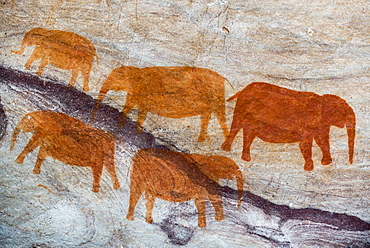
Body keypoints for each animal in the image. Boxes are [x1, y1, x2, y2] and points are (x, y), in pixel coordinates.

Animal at [221, 82, 356, 171]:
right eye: (344, 112)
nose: (350, 162)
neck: (322, 99)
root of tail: (243, 89)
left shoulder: (322, 124)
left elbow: (322, 141)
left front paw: (326, 163)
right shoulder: (308, 123)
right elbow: (305, 144)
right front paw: (309, 169)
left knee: (249, 133)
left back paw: (246, 159)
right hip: (242, 108)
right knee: (236, 126)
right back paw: (226, 150)